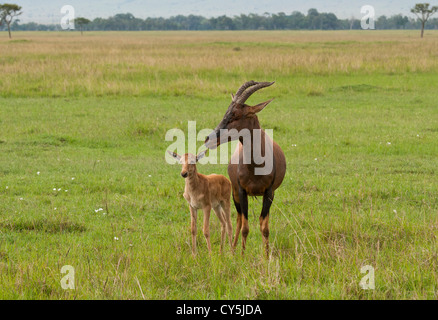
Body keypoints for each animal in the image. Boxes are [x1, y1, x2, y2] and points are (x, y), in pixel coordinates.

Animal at [205, 81, 288, 256]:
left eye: (236, 115)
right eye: (227, 111)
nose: (208, 139)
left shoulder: (269, 193)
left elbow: (264, 227)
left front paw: (266, 256)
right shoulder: (242, 191)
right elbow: (245, 227)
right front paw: (242, 256)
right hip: (235, 194)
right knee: (238, 219)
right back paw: (233, 250)